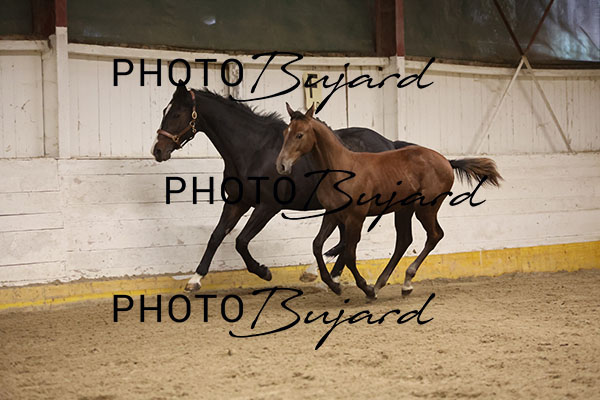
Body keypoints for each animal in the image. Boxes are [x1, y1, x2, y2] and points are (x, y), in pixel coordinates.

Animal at [151, 83, 415, 291]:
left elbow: (241, 241)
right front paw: (195, 279)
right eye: (165, 111)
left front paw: (263, 271)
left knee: (348, 241)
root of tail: (390, 144)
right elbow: (216, 236)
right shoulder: (238, 201)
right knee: (345, 241)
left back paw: (315, 273)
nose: (157, 150)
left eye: (176, 114)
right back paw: (329, 277)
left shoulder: (268, 206)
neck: (254, 149)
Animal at [276, 103, 502, 299]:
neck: (341, 170)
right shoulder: (332, 215)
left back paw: (402, 282)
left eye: (299, 135)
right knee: (404, 240)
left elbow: (349, 253)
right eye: (285, 133)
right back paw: (385, 283)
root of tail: (446, 160)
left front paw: (364, 288)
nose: (281, 165)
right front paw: (334, 285)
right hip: (404, 210)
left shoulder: (355, 218)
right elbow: (317, 245)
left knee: (435, 235)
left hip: (425, 208)